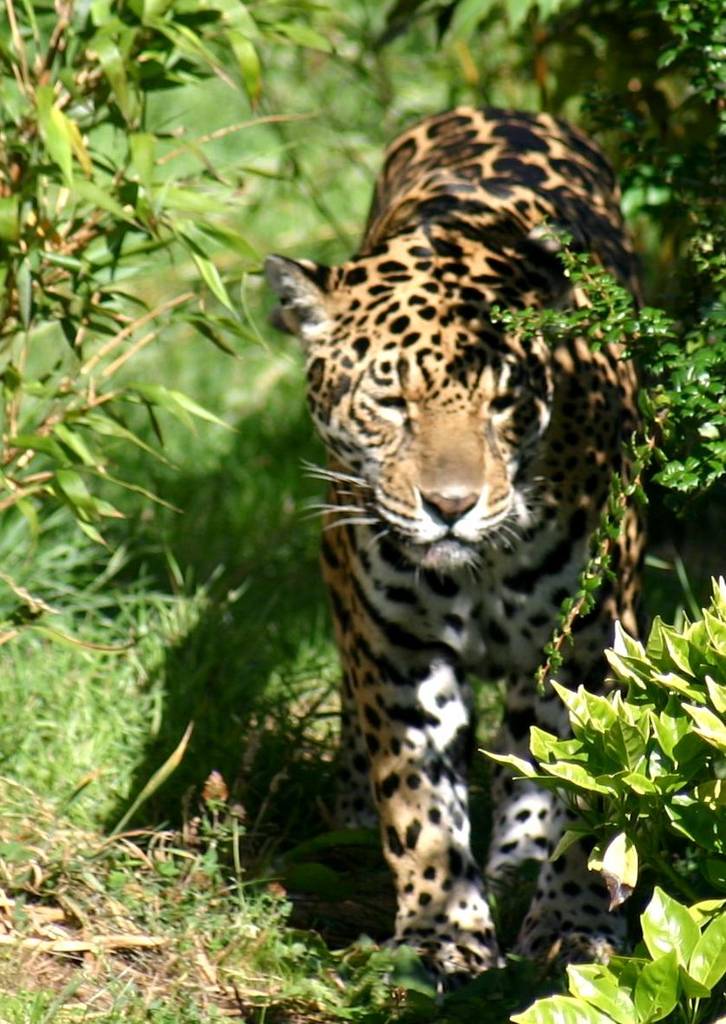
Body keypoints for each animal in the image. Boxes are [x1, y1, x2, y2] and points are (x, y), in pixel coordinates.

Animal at [265, 106, 643, 984]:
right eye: (390, 403)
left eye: (503, 404)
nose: (450, 506)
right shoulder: (398, 648)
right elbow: (420, 804)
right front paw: (441, 934)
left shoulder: (592, 642)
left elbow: (588, 790)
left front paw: (573, 926)